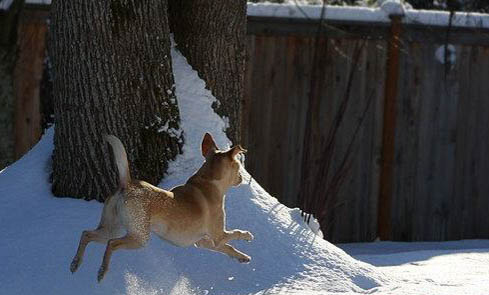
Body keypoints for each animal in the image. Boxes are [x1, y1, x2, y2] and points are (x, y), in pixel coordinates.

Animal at [70, 134, 254, 282]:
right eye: (238, 166)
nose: (241, 177)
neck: (208, 181)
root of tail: (127, 184)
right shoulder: (218, 236)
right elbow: (235, 234)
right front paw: (247, 236)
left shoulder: (204, 242)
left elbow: (228, 248)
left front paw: (243, 257)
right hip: (139, 237)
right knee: (112, 244)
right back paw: (102, 271)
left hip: (112, 227)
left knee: (86, 234)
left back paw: (75, 263)